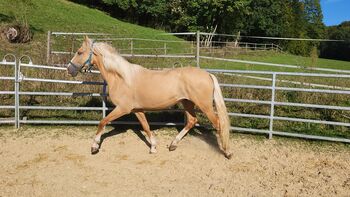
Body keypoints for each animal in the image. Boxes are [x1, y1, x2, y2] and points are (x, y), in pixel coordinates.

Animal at [67, 36, 232, 159]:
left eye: (79, 52)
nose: (69, 69)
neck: (122, 78)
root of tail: (207, 74)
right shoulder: (137, 110)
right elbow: (146, 127)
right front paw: (153, 147)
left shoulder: (123, 109)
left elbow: (102, 122)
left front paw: (94, 147)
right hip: (187, 103)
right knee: (192, 120)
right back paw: (173, 145)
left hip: (205, 105)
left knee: (218, 124)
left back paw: (227, 151)